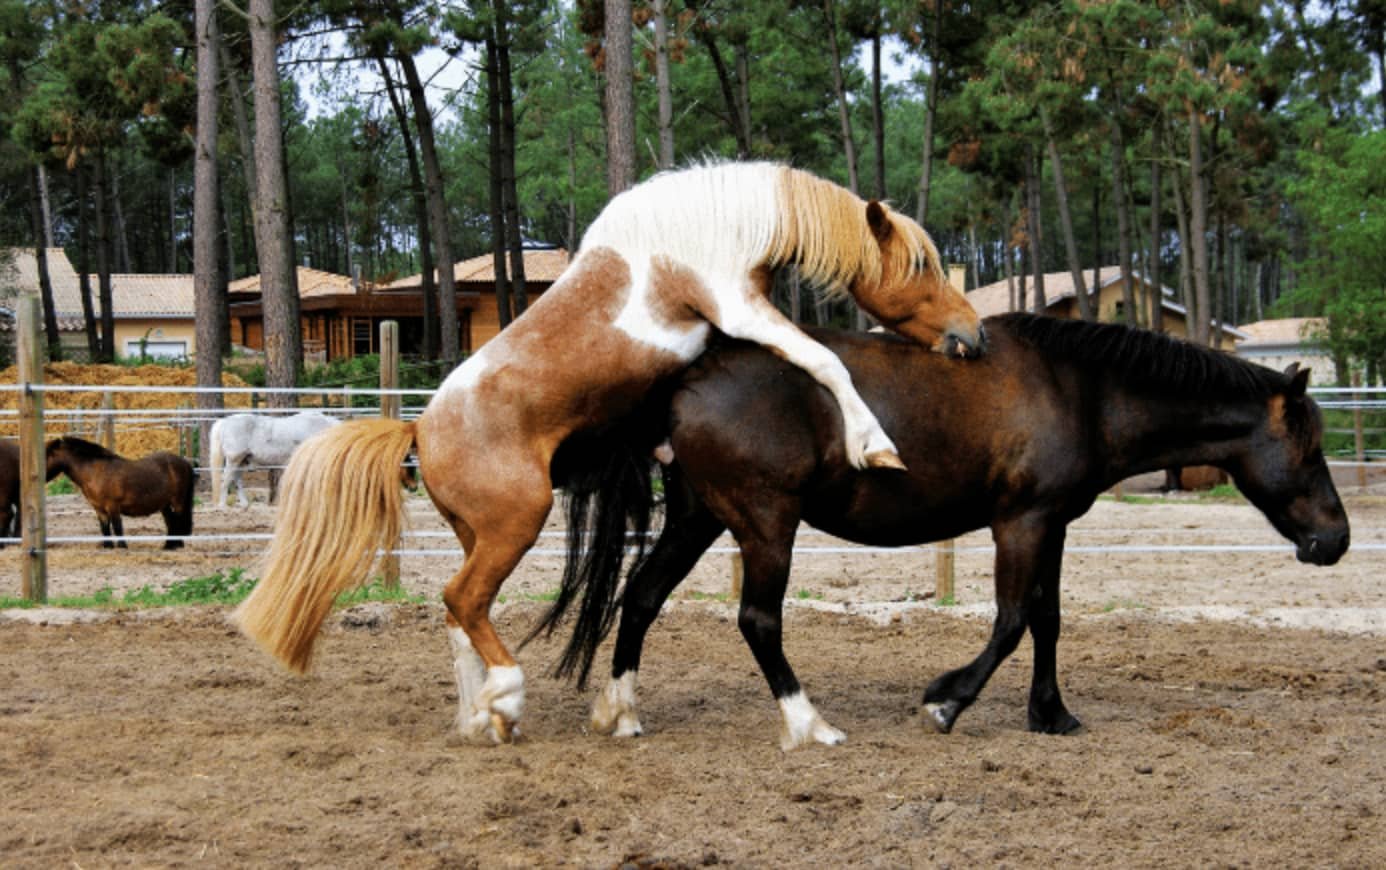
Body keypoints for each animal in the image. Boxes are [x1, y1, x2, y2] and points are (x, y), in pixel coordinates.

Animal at [46, 436, 197, 550]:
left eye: (46, 455)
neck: (96, 472)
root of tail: (184, 462)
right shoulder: (99, 509)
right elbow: (105, 528)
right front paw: (108, 546)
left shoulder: (113, 506)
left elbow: (118, 527)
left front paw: (122, 546)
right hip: (164, 505)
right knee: (171, 522)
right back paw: (168, 545)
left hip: (178, 502)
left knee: (178, 521)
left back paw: (176, 545)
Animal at [208, 411, 340, 509]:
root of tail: (224, 422)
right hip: (234, 459)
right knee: (226, 479)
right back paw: (222, 505)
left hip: (242, 461)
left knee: (237, 479)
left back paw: (244, 504)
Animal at [234, 160, 986, 744]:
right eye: (920, 265)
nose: (972, 338)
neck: (708, 226)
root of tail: (419, 433)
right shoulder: (739, 310)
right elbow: (825, 359)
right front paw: (876, 446)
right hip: (516, 524)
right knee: (462, 599)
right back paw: (506, 696)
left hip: (479, 533)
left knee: (456, 614)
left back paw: (482, 719)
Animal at [536, 313, 1351, 749]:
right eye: (1311, 449)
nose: (1336, 541)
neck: (1082, 392)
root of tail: (688, 379)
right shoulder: (1020, 523)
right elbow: (1012, 620)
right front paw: (946, 702)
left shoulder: (1052, 525)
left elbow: (1048, 620)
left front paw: (1050, 713)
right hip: (765, 525)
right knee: (758, 618)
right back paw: (808, 724)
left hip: (700, 517)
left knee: (641, 597)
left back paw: (621, 712)